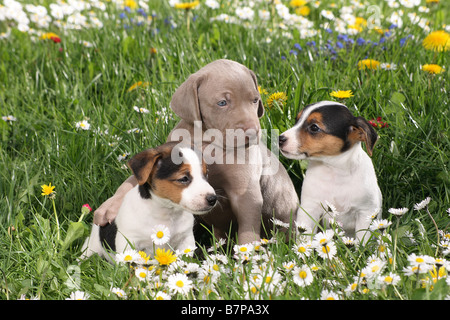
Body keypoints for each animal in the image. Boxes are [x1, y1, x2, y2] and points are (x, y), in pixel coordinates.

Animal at [81, 142, 217, 260]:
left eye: (206, 174)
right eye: (183, 178)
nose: (213, 199)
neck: (167, 212)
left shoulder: (186, 239)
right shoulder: (128, 242)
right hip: (91, 247)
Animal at [94, 60, 298, 244]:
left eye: (255, 100)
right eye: (222, 102)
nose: (253, 131)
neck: (209, 141)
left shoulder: (245, 194)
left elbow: (248, 229)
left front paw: (247, 257)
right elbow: (131, 180)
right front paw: (108, 207)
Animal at [280, 101, 382, 244]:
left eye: (314, 127)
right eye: (297, 120)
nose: (280, 138)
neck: (334, 170)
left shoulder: (366, 213)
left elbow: (362, 240)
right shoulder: (309, 209)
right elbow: (305, 238)